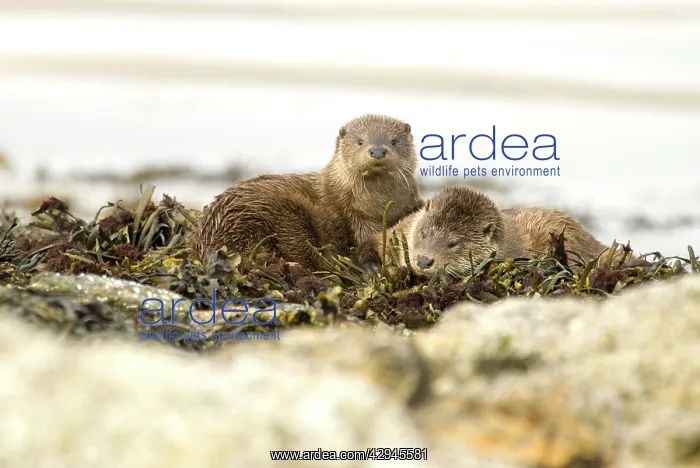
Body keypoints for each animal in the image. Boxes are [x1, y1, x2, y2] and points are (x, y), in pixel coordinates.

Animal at [188, 114, 422, 270]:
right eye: (360, 141)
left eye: (394, 141)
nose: (378, 150)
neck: (379, 205)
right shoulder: (357, 217)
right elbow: (367, 240)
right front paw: (372, 266)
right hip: (282, 214)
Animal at [360, 186, 647, 278]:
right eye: (423, 233)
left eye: (453, 243)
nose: (423, 260)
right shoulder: (400, 228)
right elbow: (372, 242)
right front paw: (372, 266)